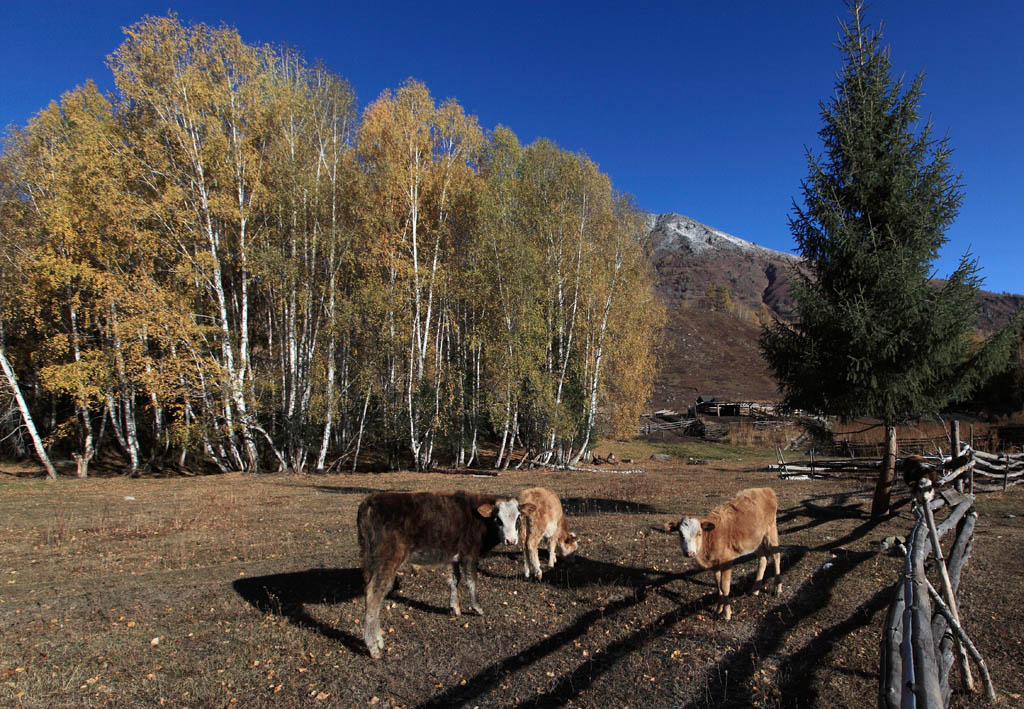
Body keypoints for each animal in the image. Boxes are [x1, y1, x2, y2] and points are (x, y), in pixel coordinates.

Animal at [358, 487, 520, 659]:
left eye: (518, 518)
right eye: (498, 519)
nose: (511, 540)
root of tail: (368, 502)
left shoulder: (452, 558)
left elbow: (454, 580)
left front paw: (455, 608)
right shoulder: (469, 555)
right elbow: (472, 581)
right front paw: (478, 608)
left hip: (370, 562)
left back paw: (379, 640)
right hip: (387, 561)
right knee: (374, 595)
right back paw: (373, 648)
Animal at [671, 487, 782, 618]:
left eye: (699, 533)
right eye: (680, 534)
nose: (690, 553)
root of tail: (766, 489)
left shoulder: (726, 560)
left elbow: (724, 587)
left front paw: (727, 614)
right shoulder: (714, 564)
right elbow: (718, 586)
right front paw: (718, 609)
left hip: (771, 531)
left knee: (776, 556)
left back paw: (777, 588)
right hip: (756, 540)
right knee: (763, 559)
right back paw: (755, 590)